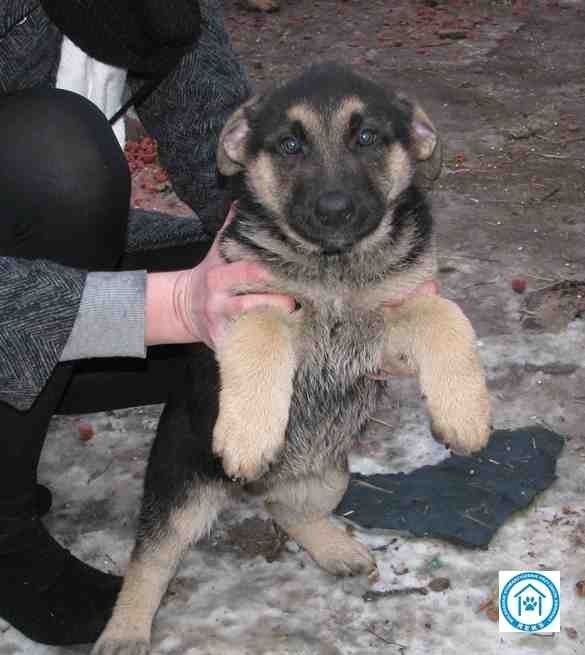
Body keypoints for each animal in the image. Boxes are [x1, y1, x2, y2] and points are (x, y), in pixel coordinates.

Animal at [94, 62, 488, 655]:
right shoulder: (245, 300)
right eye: (289, 145)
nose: (334, 211)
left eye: (367, 137)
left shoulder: (386, 326)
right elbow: (262, 332)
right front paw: (249, 434)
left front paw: (465, 414)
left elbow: (445, 314)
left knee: (285, 507)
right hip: (180, 486)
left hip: (331, 475)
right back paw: (124, 630)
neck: (334, 265)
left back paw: (334, 547)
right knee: (151, 559)